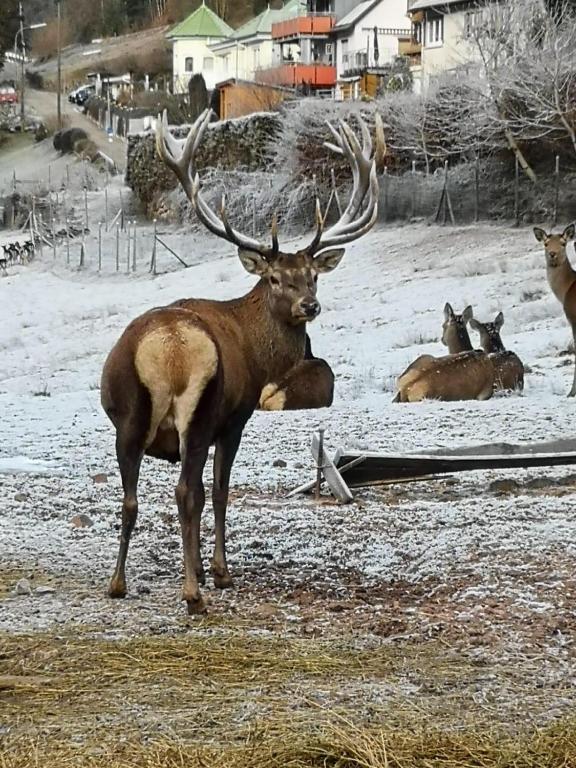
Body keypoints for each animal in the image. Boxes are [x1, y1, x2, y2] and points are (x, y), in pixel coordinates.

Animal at [100, 109, 378, 615]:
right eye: (274, 278)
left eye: (312, 276)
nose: (310, 306)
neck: (255, 351)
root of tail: (170, 348)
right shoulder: (235, 419)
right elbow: (220, 492)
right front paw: (219, 572)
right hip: (200, 411)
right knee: (187, 491)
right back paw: (193, 593)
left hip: (127, 418)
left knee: (131, 498)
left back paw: (118, 583)